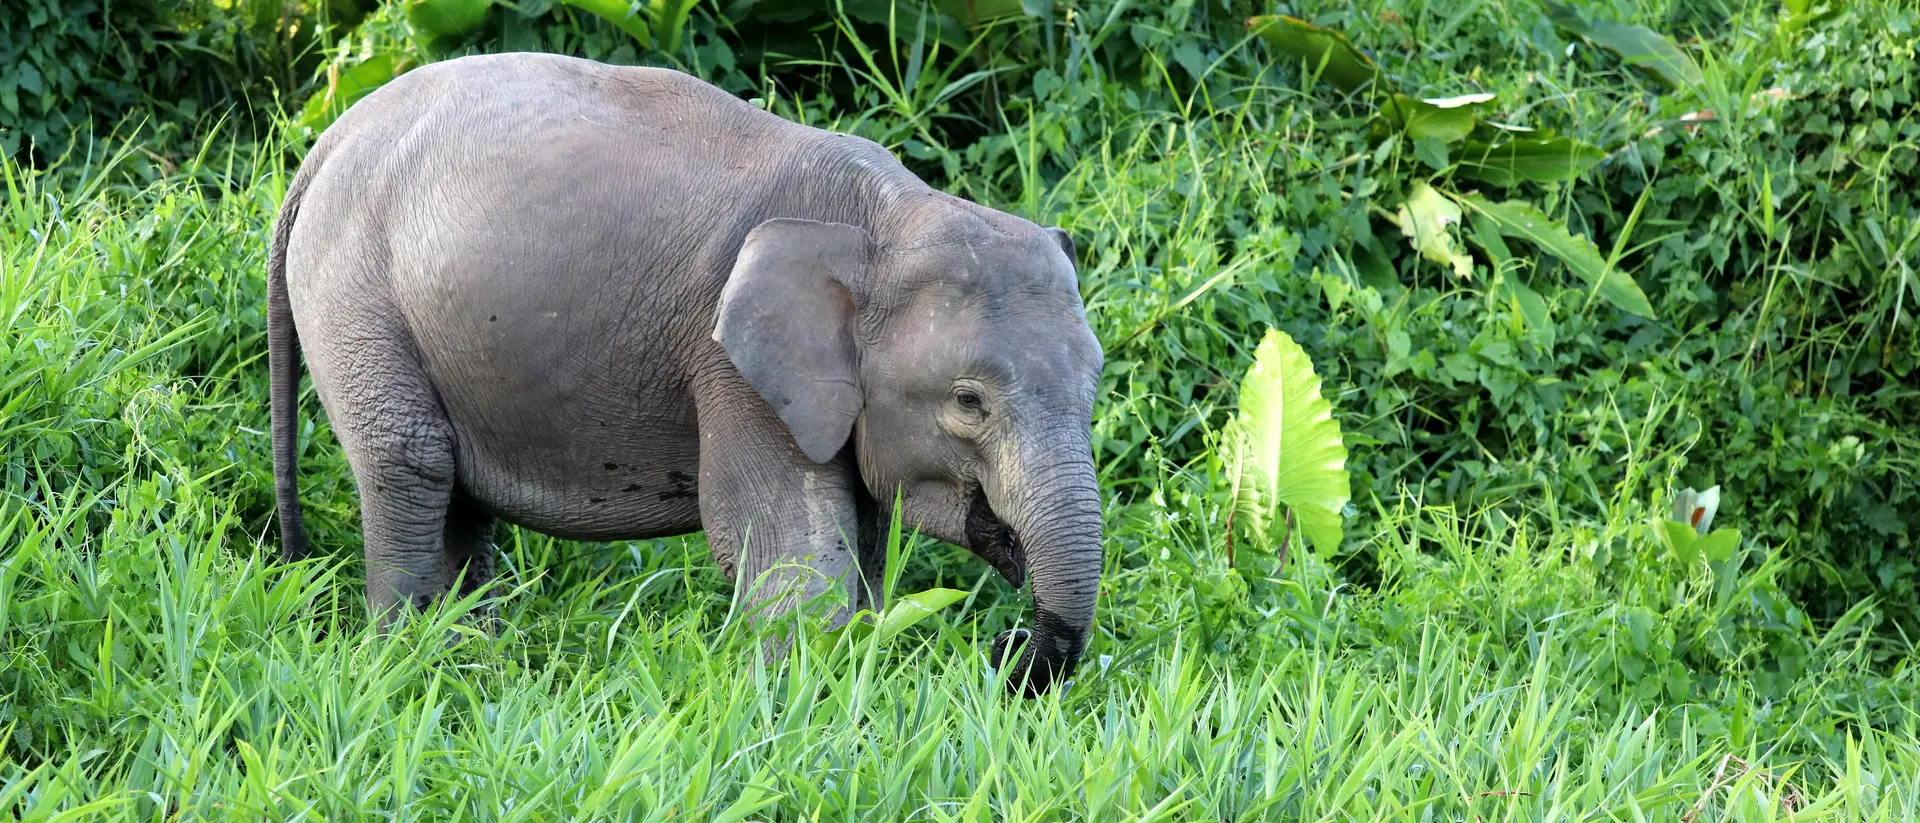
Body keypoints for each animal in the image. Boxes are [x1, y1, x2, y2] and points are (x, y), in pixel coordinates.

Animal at [267, 52, 1106, 696]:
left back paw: (476, 664)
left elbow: (857, 548)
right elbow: (789, 548)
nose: (1004, 651)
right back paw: (409, 667)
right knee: (410, 462)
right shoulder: (730, 366)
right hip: (354, 295)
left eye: (1092, 391)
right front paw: (797, 703)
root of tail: (325, 143)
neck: (884, 218)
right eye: (969, 401)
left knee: (459, 501)